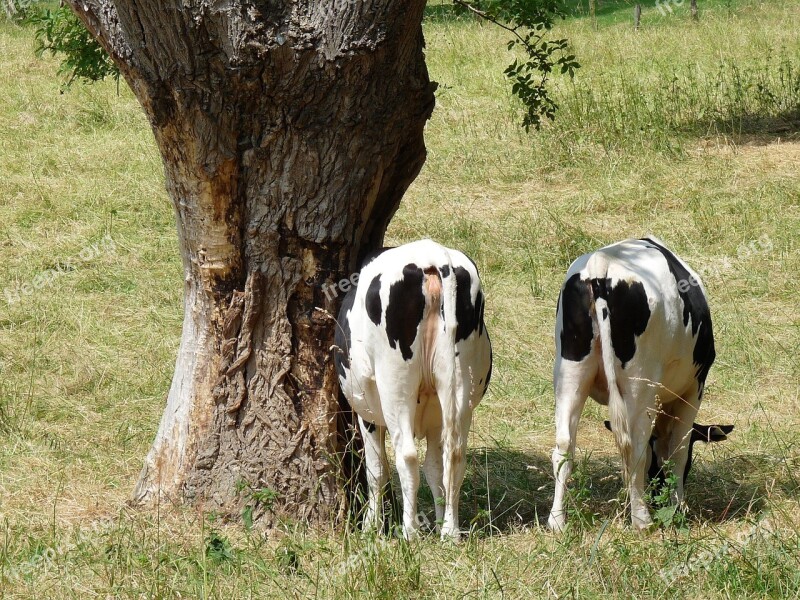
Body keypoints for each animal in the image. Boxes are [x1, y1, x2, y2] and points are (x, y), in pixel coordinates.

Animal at [332, 239, 488, 540]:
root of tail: (433, 257)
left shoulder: (368, 415)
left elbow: (376, 470)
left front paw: (370, 528)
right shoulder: (436, 420)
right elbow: (435, 469)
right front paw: (438, 522)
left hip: (395, 387)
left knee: (406, 455)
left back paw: (410, 532)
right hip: (460, 385)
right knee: (455, 455)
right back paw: (450, 531)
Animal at [552, 236, 724, 528]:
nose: (657, 497)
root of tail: (601, 263)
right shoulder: (693, 390)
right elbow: (677, 452)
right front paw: (678, 507)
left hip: (570, 373)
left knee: (564, 445)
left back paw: (557, 521)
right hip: (639, 385)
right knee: (635, 447)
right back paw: (642, 520)